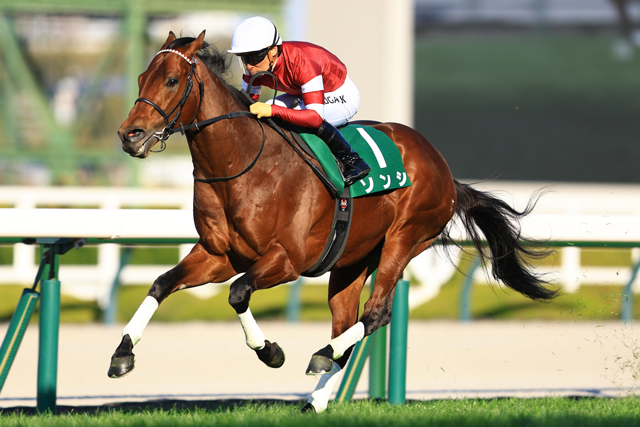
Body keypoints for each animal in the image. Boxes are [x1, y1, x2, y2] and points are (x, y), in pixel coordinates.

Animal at [110, 31, 558, 413]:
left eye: (171, 80)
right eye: (141, 78)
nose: (130, 135)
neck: (240, 165)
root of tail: (444, 170)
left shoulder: (286, 260)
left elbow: (238, 294)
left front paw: (270, 351)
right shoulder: (219, 255)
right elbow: (161, 283)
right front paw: (122, 353)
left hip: (406, 238)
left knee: (376, 314)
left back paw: (322, 358)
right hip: (351, 261)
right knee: (347, 323)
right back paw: (318, 397)